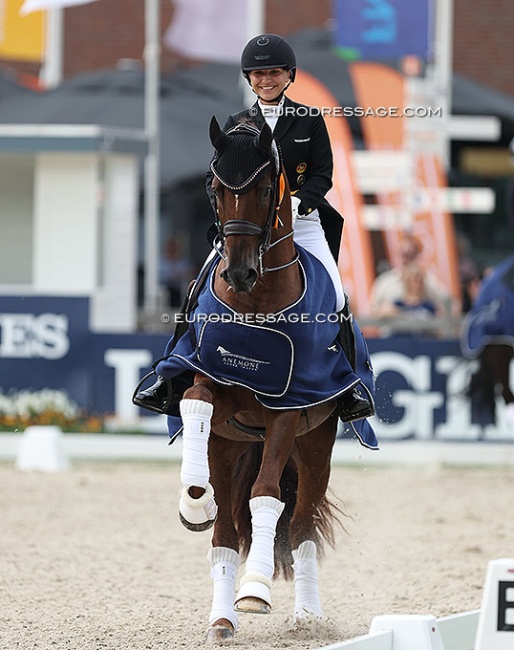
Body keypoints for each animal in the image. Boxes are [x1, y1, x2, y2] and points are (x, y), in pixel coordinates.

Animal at [146, 119, 374, 640]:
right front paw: (193, 501)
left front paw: (256, 590)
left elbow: (267, 496)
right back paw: (221, 619)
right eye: (214, 188)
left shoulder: (289, 407)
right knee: (226, 533)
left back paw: (306, 616)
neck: (256, 304)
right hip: (229, 444)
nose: (239, 272)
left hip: (315, 447)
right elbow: (194, 402)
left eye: (268, 188)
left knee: (302, 527)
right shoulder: (210, 380)